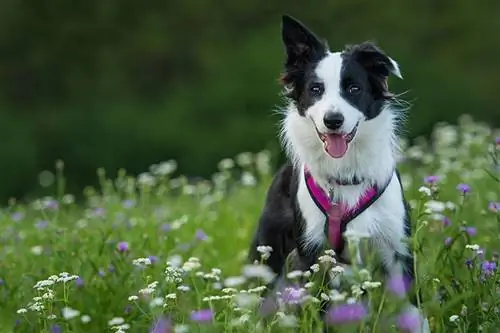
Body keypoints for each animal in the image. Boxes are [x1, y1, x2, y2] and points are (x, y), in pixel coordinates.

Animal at [247, 14, 430, 330]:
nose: (333, 120)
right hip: (269, 251)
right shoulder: (312, 252)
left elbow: (412, 312)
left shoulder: (396, 249)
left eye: (354, 89)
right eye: (315, 89)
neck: (346, 176)